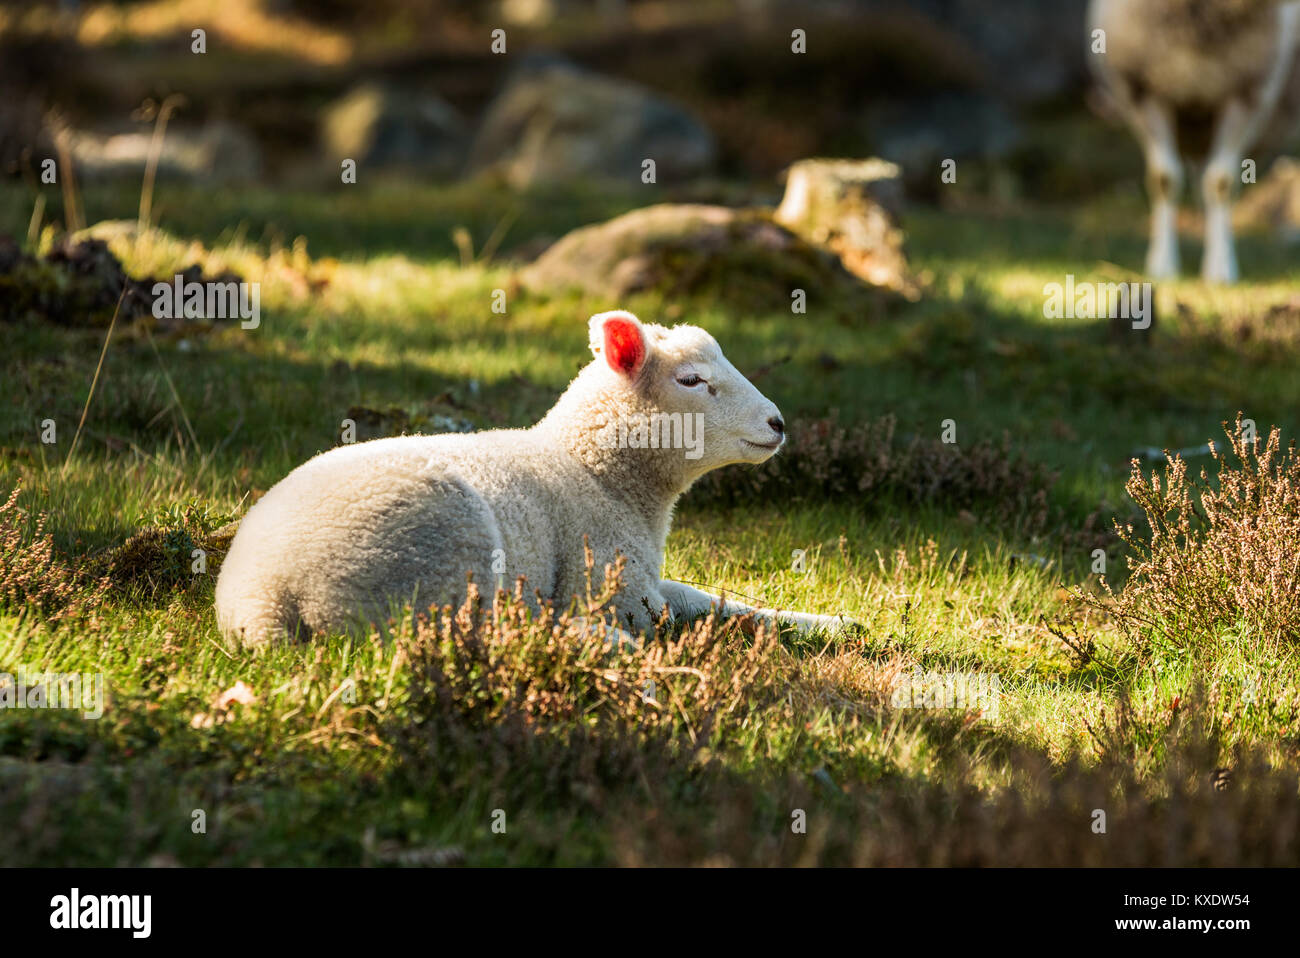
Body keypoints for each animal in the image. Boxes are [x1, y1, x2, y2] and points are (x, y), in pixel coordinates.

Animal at [214, 310, 853, 647]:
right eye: (692, 380)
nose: (777, 424)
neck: (594, 471)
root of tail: (267, 601)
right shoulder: (617, 587)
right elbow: (674, 614)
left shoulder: (645, 578)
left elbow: (713, 599)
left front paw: (830, 622)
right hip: (439, 557)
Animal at [1088, 0, 1300, 282]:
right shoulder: (1146, 91)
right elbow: (1164, 179)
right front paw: (1163, 264)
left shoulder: (1245, 94)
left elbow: (1222, 182)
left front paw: (1221, 268)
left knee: (1207, 183)